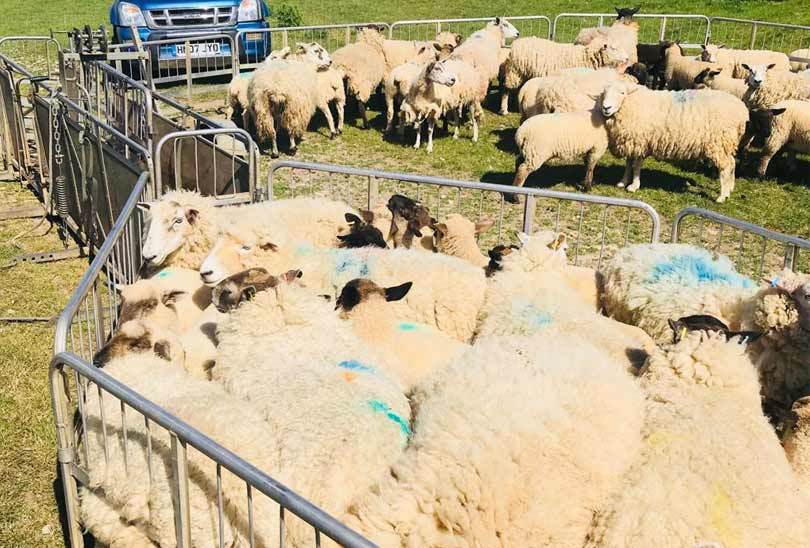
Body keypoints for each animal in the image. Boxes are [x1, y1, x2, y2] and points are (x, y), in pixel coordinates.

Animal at [500, 38, 629, 115]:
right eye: (613, 48)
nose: (627, 58)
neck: (586, 57)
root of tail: (516, 43)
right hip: (514, 72)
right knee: (506, 89)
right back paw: (504, 109)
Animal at [599, 81, 748, 202]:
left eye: (622, 93)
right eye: (604, 93)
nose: (606, 108)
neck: (633, 103)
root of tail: (742, 110)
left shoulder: (640, 142)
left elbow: (635, 166)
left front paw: (633, 186)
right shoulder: (632, 143)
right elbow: (628, 165)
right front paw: (622, 182)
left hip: (719, 143)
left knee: (726, 167)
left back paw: (722, 196)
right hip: (725, 145)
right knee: (732, 163)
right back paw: (730, 188)